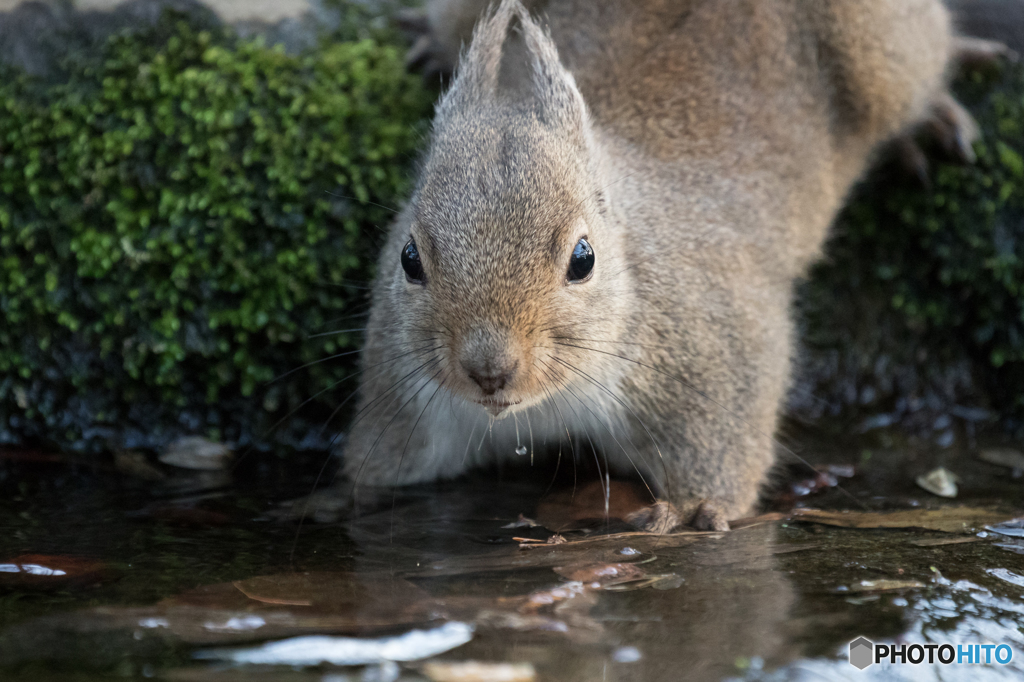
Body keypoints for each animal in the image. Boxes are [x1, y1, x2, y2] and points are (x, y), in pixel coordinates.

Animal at [301, 0, 991, 532]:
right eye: (409, 258)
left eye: (583, 259)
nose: (489, 370)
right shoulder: (412, 403)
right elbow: (384, 468)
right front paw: (335, 502)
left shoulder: (716, 349)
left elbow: (727, 443)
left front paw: (691, 509)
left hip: (883, 48)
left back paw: (933, 115)